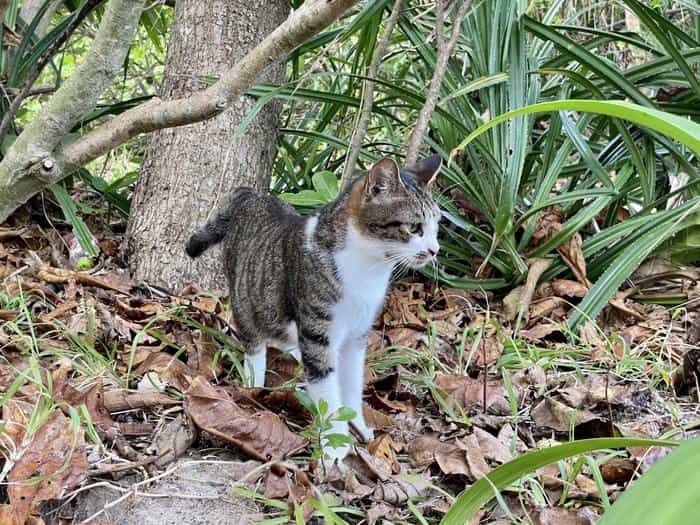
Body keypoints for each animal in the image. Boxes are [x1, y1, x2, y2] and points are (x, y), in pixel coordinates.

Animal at [183, 156, 440, 458]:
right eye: (414, 227)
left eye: (436, 227)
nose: (435, 250)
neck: (367, 269)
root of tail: (250, 196)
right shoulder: (318, 330)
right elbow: (326, 387)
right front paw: (336, 447)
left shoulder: (357, 335)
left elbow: (352, 384)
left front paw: (357, 425)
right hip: (246, 298)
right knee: (254, 343)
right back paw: (252, 387)